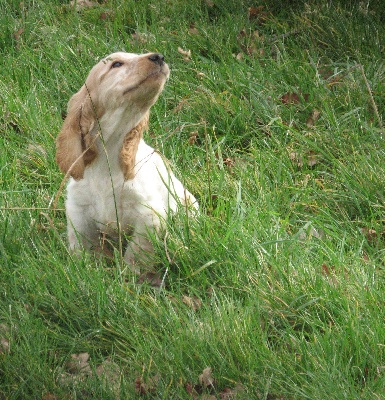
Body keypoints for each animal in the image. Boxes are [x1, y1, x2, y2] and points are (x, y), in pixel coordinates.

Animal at [56, 51, 198, 276]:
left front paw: (131, 276)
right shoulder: (78, 210)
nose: (158, 56)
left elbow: (137, 253)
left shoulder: (149, 215)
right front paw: (85, 269)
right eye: (116, 64)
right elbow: (82, 247)